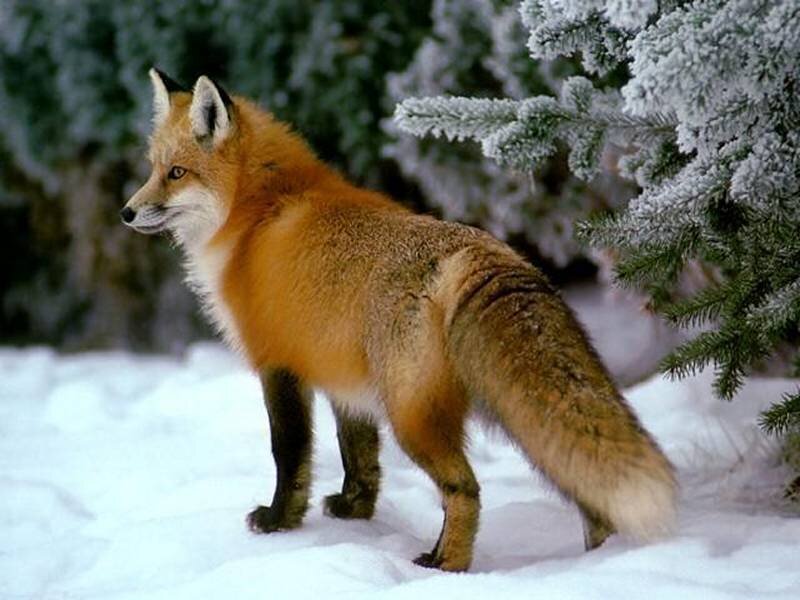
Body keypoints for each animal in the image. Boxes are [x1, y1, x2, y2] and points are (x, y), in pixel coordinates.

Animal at [121, 68, 677, 572]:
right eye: (152, 169)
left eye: (176, 173)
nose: (126, 212)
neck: (258, 212)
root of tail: (481, 250)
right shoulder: (341, 374)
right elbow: (358, 455)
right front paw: (354, 512)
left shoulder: (278, 363)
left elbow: (289, 453)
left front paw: (280, 522)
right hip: (501, 410)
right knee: (582, 485)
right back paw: (600, 563)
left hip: (412, 415)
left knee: (465, 489)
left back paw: (445, 565)